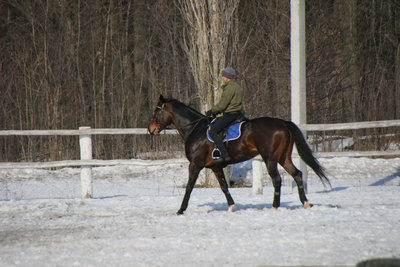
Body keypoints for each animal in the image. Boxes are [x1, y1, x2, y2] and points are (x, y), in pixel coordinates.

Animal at [148, 95, 330, 215]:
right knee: (297, 174)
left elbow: (189, 187)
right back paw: (306, 203)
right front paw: (231, 207)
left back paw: (275, 206)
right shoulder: (215, 167)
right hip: (283, 158)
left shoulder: (195, 165)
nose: (150, 130)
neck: (194, 128)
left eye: (156, 112)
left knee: (277, 180)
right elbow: (224, 187)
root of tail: (283, 123)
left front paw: (181, 210)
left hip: (270, 159)